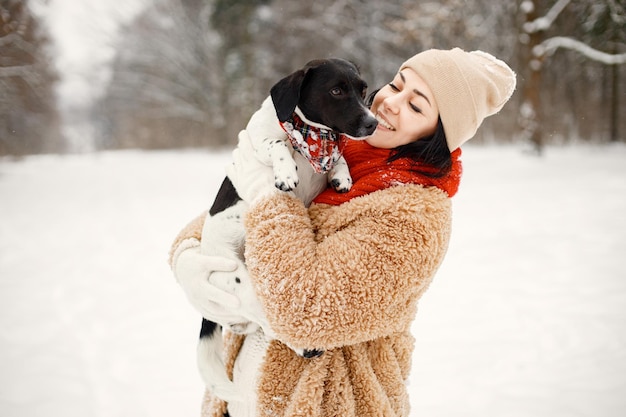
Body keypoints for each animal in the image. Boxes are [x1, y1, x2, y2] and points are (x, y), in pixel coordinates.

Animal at [199, 58, 376, 400]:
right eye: (336, 90)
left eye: (363, 90)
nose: (373, 123)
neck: (312, 135)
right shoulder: (262, 140)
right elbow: (277, 144)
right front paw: (286, 173)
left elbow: (339, 157)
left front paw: (341, 175)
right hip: (242, 284)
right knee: (268, 321)